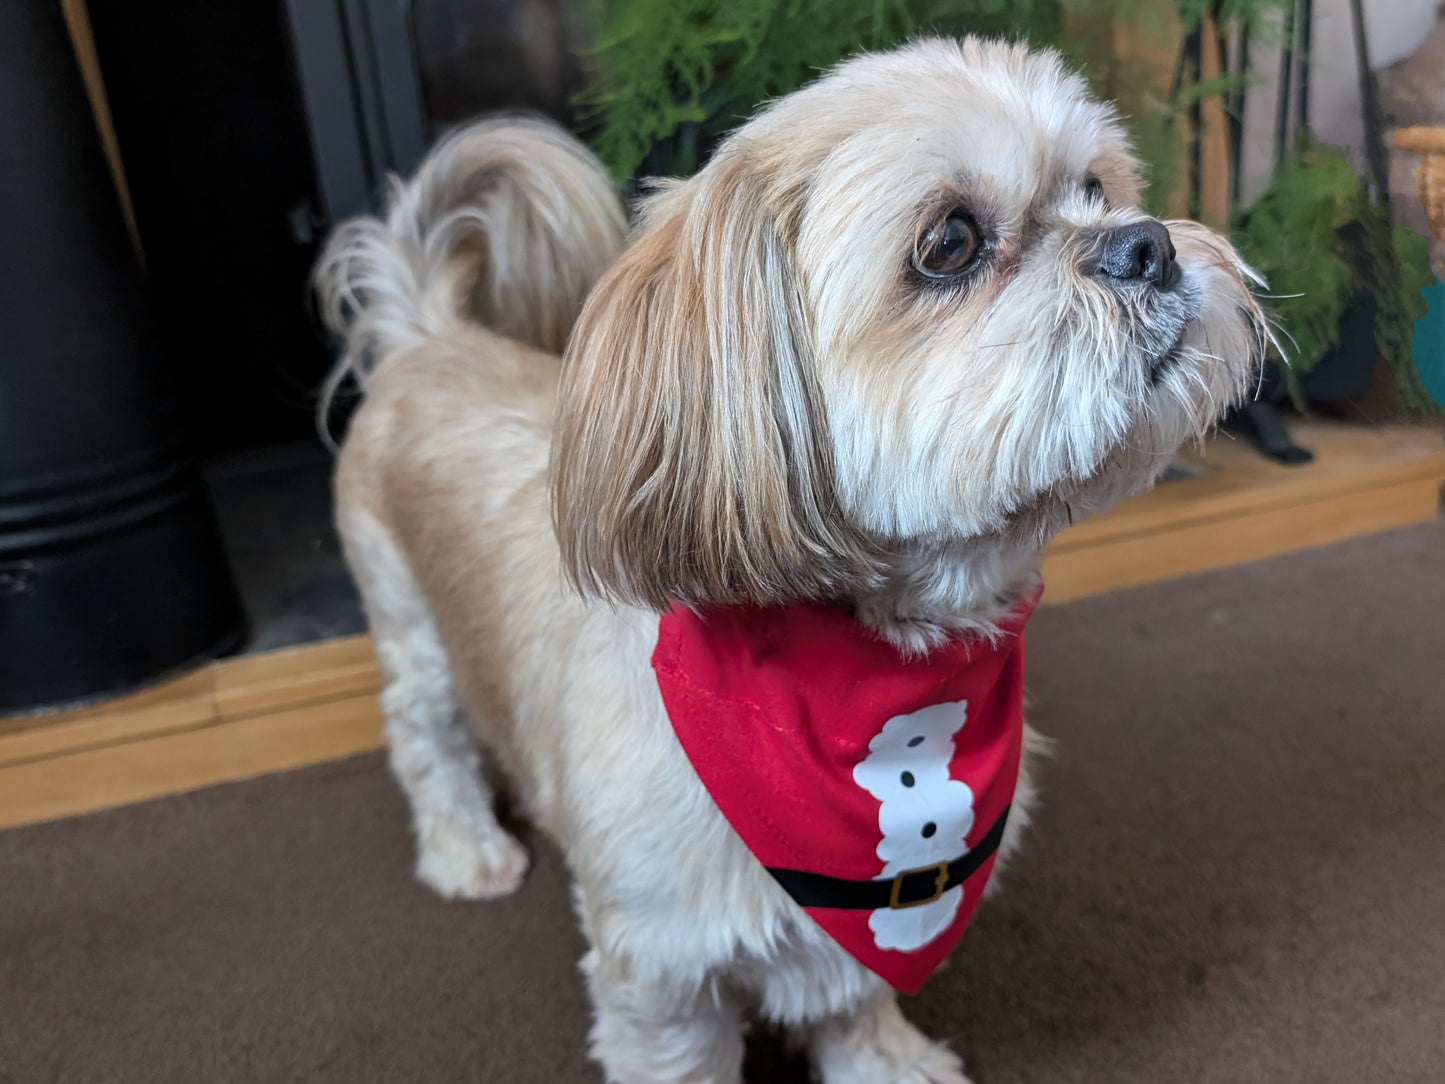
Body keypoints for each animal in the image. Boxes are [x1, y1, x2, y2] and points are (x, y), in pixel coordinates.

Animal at [319, 36, 1265, 1084]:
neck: (879, 680)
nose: (1146, 244)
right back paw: (465, 846)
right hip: (409, 626)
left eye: (1096, 187)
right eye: (949, 243)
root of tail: (427, 335)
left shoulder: (851, 936)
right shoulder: (661, 976)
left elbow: (852, 999)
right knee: (425, 738)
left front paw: (884, 1063)